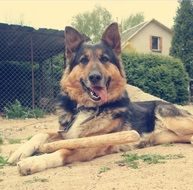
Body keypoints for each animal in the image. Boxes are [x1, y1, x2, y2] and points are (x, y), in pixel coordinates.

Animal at [8, 22, 193, 175]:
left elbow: (63, 151)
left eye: (104, 59)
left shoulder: (91, 144)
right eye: (83, 60)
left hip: (166, 114)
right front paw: (20, 151)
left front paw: (34, 161)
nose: (95, 77)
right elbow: (42, 133)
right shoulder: (68, 134)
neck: (86, 108)